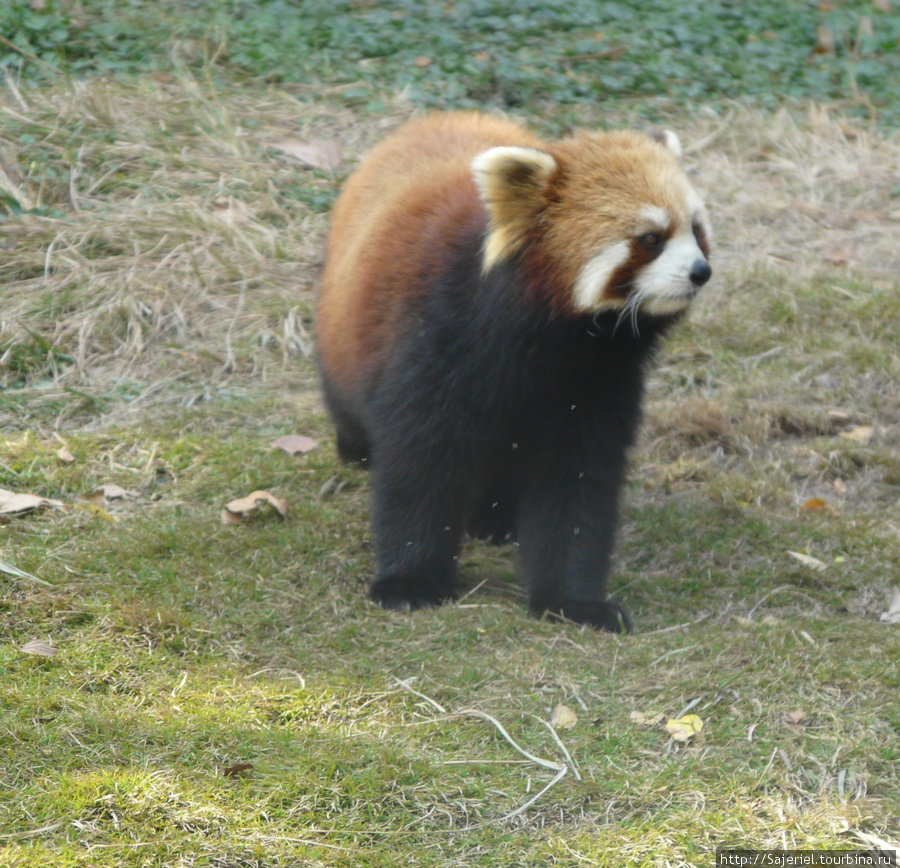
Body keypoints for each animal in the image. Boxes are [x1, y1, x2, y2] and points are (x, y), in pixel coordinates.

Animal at [316, 112, 712, 636]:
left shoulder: (597, 384)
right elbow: (419, 466)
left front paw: (574, 601)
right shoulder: (439, 340)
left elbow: (577, 489)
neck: (558, 341)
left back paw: (496, 518)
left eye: (696, 230)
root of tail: (436, 119)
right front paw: (410, 581)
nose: (701, 271)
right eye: (651, 238)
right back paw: (357, 448)